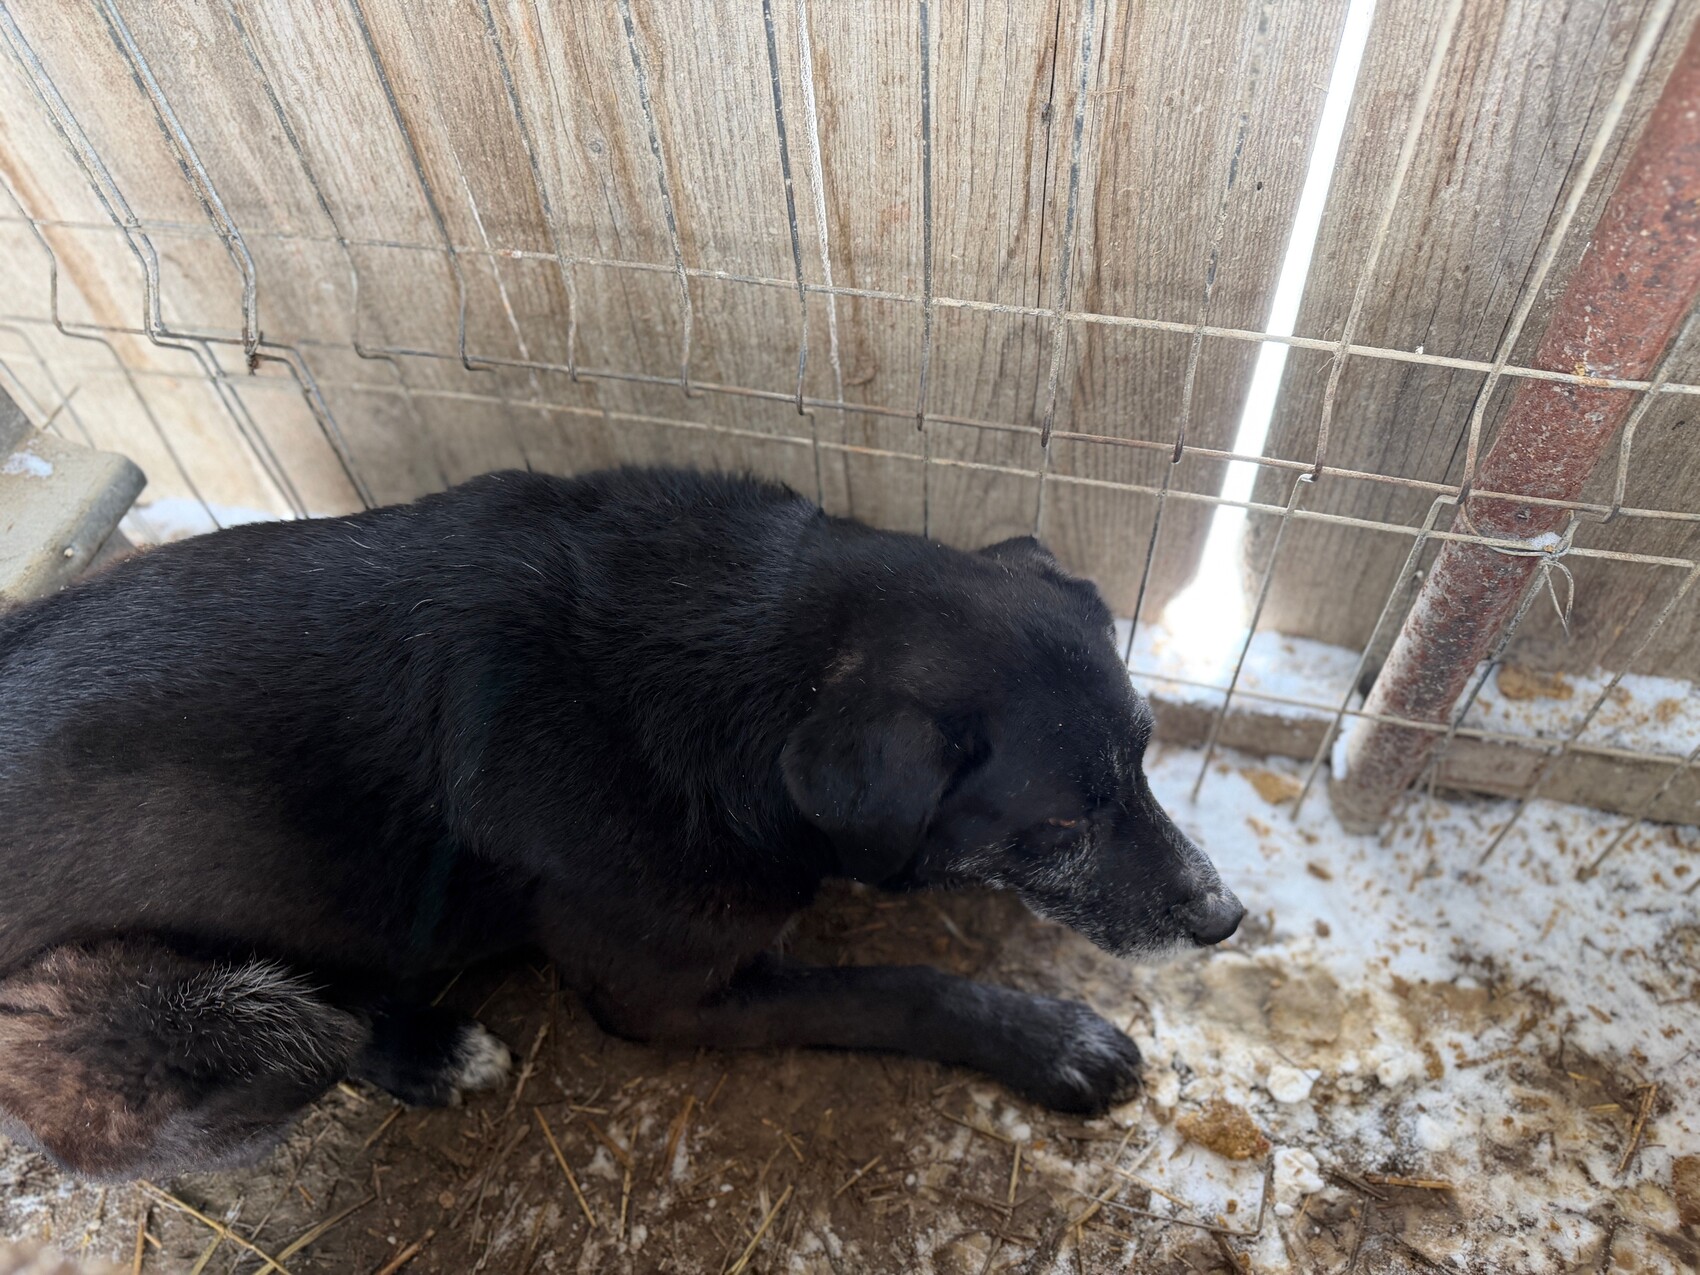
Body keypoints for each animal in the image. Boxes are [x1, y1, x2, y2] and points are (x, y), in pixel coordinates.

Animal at [0, 466, 1242, 1180]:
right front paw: (1052, 1040)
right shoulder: (665, 998)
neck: (762, 648)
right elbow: (898, 988)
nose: (1223, 918)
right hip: (210, 1023)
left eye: (1143, 756)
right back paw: (425, 1048)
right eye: (1058, 824)